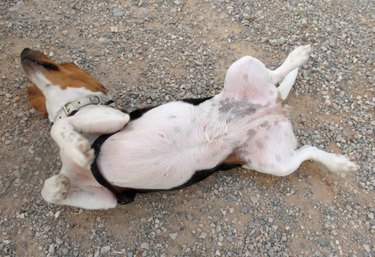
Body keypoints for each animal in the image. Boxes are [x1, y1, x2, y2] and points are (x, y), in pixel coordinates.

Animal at [19, 45, 358, 208]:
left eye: (63, 63)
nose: (23, 51)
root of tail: (275, 108)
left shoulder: (117, 118)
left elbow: (60, 126)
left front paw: (78, 147)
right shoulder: (110, 199)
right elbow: (49, 190)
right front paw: (60, 184)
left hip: (244, 65)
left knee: (277, 75)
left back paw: (297, 57)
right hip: (272, 162)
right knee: (308, 150)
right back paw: (338, 163)